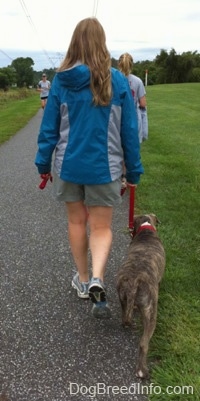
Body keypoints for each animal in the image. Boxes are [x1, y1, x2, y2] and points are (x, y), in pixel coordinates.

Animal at [115, 212, 166, 378]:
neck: (146, 228)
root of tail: (134, 280)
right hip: (151, 312)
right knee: (144, 343)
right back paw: (142, 371)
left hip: (123, 298)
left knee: (125, 317)